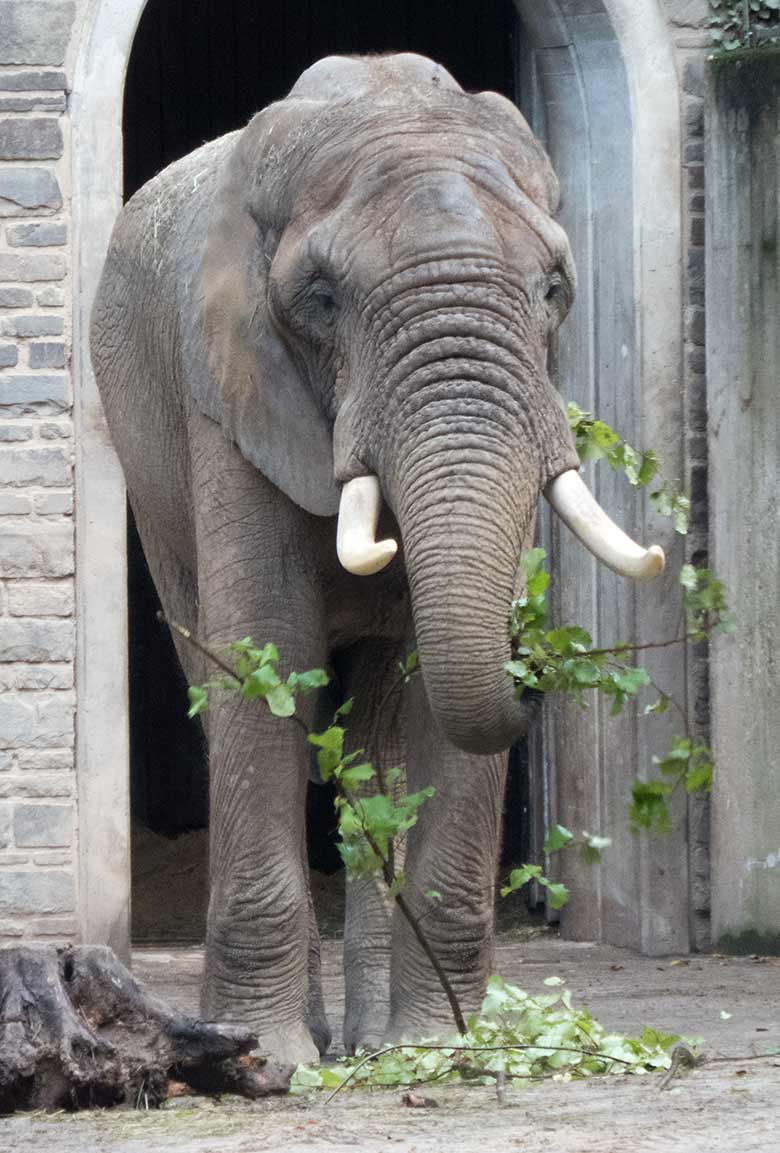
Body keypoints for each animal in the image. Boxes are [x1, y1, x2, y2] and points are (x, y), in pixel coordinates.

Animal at [91, 54, 664, 1060]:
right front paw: (269, 1057)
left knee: (375, 735)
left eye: (555, 288)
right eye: (321, 300)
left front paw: (438, 1048)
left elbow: (429, 694)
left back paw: (372, 1045)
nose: (539, 673)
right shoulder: (230, 395)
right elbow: (267, 652)